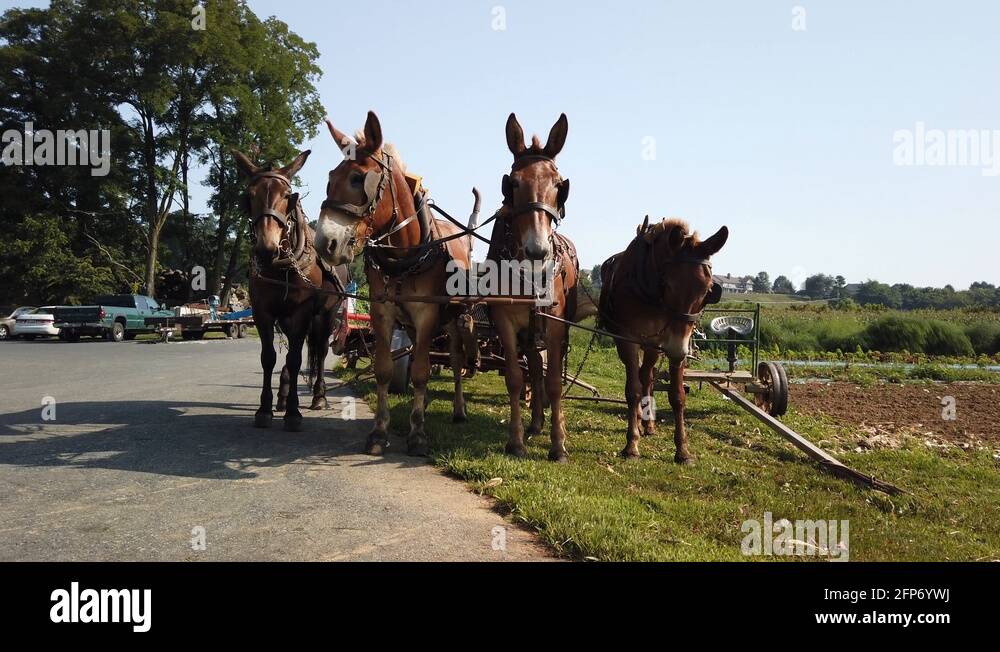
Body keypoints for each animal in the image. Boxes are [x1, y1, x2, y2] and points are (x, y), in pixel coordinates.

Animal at [233, 149, 348, 432]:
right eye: (249, 195)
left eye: (288, 195)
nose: (266, 248)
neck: (281, 266)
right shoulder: (263, 312)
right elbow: (269, 357)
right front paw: (265, 408)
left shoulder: (302, 312)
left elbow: (297, 359)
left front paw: (294, 412)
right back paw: (283, 395)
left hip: (327, 315)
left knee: (320, 350)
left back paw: (318, 396)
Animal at [313, 111, 477, 456]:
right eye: (330, 178)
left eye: (358, 178)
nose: (325, 243)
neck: (406, 255)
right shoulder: (383, 313)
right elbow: (386, 370)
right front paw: (380, 431)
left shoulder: (427, 315)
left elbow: (421, 371)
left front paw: (417, 435)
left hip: (454, 319)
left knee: (455, 360)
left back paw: (457, 409)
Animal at [486, 113, 586, 463]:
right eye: (513, 183)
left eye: (558, 185)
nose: (537, 250)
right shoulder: (505, 322)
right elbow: (516, 379)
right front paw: (515, 440)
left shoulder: (555, 328)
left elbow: (555, 382)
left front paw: (559, 445)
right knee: (533, 366)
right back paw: (535, 423)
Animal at [598, 217, 728, 462]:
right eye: (668, 284)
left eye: (708, 290)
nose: (677, 348)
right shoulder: (627, 339)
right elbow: (632, 390)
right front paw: (631, 444)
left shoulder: (672, 342)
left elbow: (677, 395)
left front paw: (682, 450)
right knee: (640, 378)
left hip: (653, 346)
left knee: (647, 376)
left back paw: (647, 423)